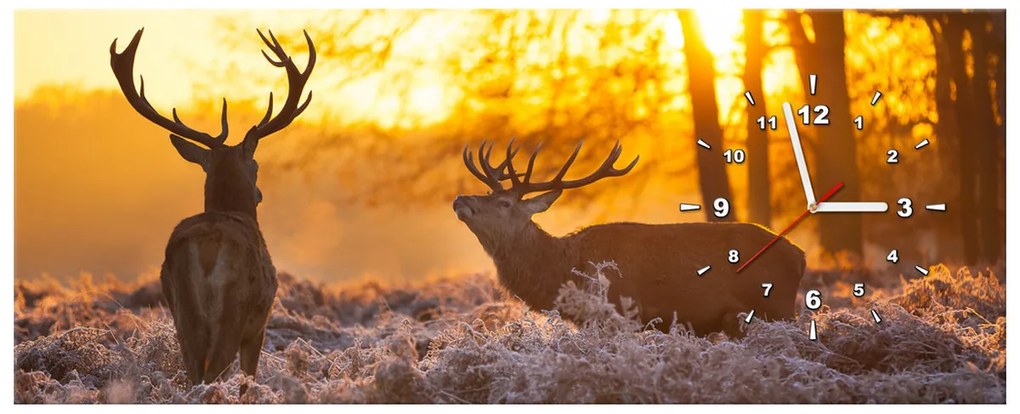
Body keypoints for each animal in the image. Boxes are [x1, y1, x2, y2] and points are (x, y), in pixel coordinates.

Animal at [107, 28, 314, 385]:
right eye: (256, 165)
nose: (259, 194)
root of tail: (206, 243)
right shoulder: (258, 326)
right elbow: (248, 379)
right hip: (233, 310)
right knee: (213, 371)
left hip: (182, 310)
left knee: (194, 372)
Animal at [454, 140, 803, 338]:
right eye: (488, 193)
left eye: (504, 203)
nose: (460, 199)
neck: (564, 270)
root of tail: (799, 255)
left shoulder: (616, 315)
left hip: (777, 308)